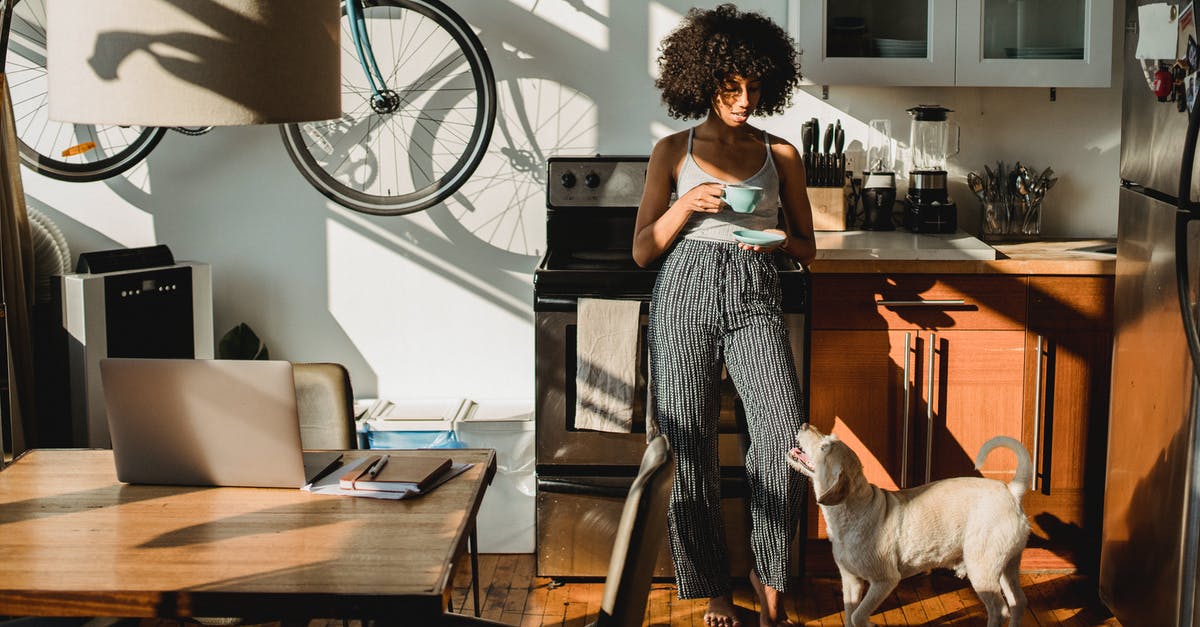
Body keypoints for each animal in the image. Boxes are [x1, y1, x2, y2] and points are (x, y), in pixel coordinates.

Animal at [787, 422, 1032, 619]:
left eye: (824, 448)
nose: (804, 424)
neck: (852, 509)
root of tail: (1011, 491)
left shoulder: (884, 580)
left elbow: (858, 617)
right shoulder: (850, 581)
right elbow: (850, 616)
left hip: (982, 568)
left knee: (999, 610)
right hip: (1007, 565)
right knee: (1018, 603)